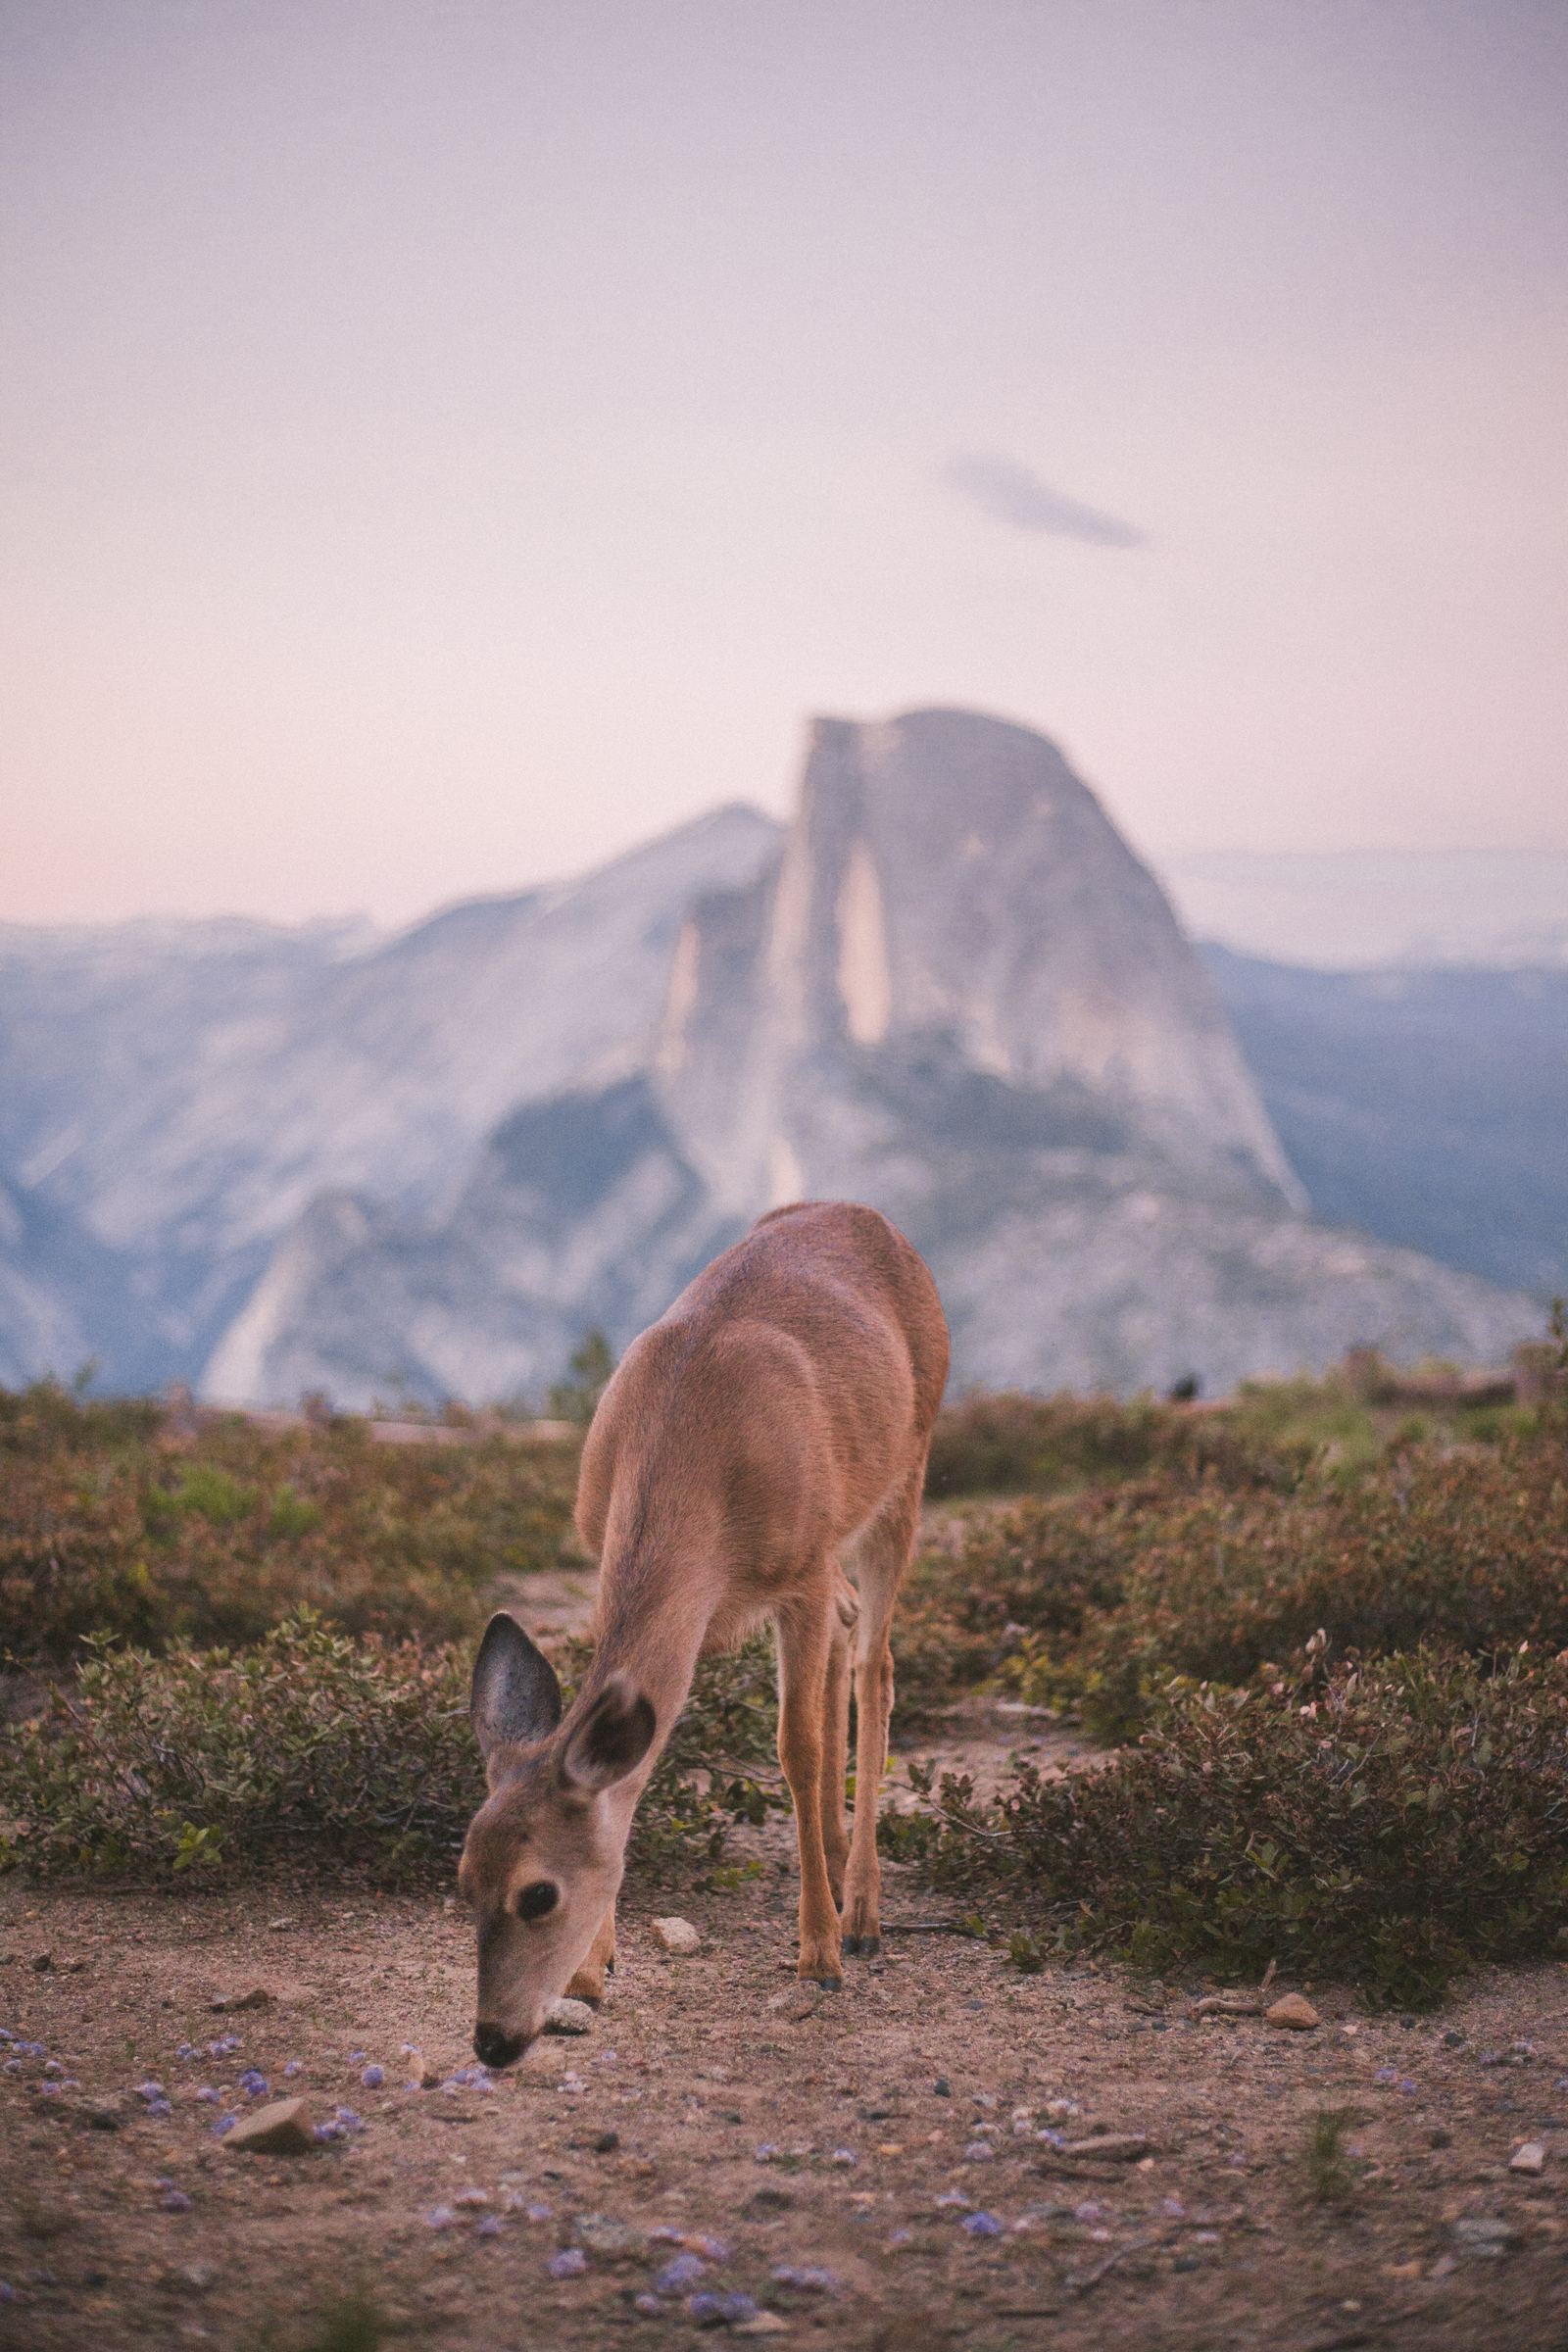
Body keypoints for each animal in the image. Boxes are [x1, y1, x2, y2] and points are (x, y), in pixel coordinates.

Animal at [453, 1203, 945, 2070]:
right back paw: (835, 1846)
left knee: (874, 1665)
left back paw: (860, 1911)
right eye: (461, 1881)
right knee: (851, 1630)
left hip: (904, 1475)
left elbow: (797, 1747)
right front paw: (593, 1972)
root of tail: (873, 1217)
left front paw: (817, 1955)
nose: (492, 2042)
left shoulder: (800, 1569)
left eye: (538, 1893)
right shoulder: (603, 1551)